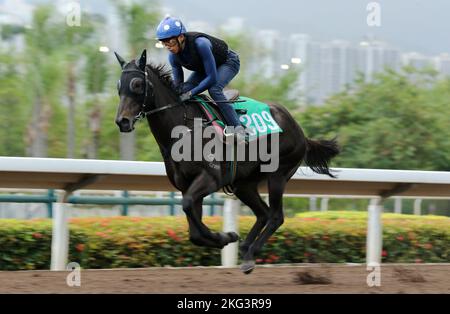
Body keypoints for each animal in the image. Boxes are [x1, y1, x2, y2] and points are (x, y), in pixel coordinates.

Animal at [114, 50, 340, 274]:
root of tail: (300, 132)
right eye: (118, 86)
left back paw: (250, 254)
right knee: (263, 213)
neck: (184, 128)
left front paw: (225, 236)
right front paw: (226, 237)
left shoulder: (210, 178)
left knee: (276, 216)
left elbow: (187, 206)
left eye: (137, 84)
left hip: (278, 175)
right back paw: (246, 248)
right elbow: (194, 231)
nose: (122, 121)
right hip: (244, 184)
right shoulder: (187, 185)